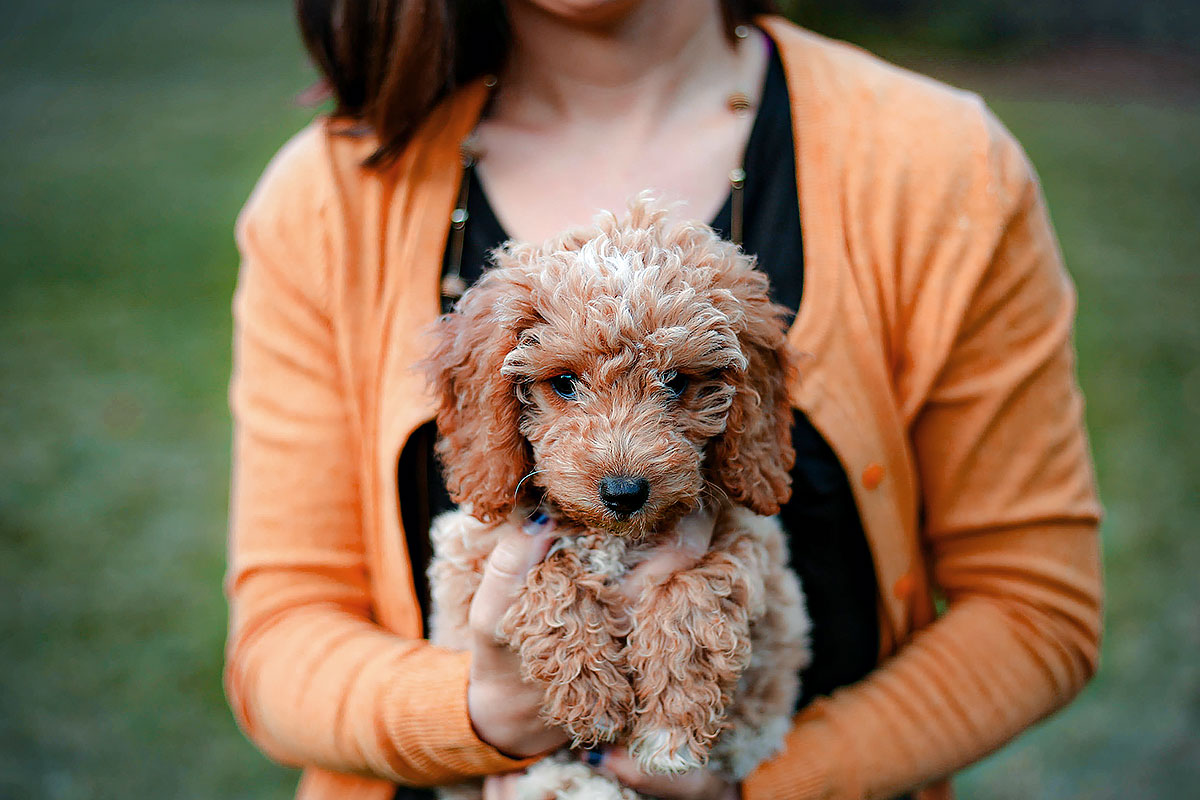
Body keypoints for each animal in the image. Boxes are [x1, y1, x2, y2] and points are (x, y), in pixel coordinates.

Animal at [427, 200, 811, 800]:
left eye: (676, 381)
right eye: (563, 383)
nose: (624, 492)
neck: (613, 538)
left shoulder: (750, 543)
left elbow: (696, 588)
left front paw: (671, 725)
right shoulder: (472, 558)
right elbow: (549, 574)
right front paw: (592, 696)